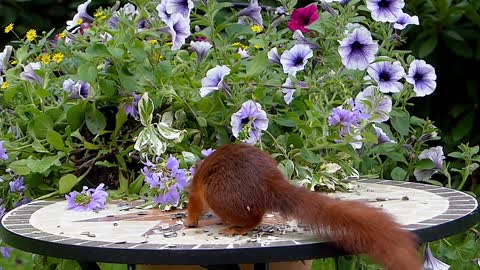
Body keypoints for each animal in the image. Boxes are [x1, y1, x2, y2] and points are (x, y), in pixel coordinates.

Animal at [186, 142, 422, 268]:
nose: (189, 225)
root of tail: (268, 183)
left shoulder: (197, 193)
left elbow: (195, 206)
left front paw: (191, 221)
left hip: (220, 194)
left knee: (254, 218)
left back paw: (237, 228)